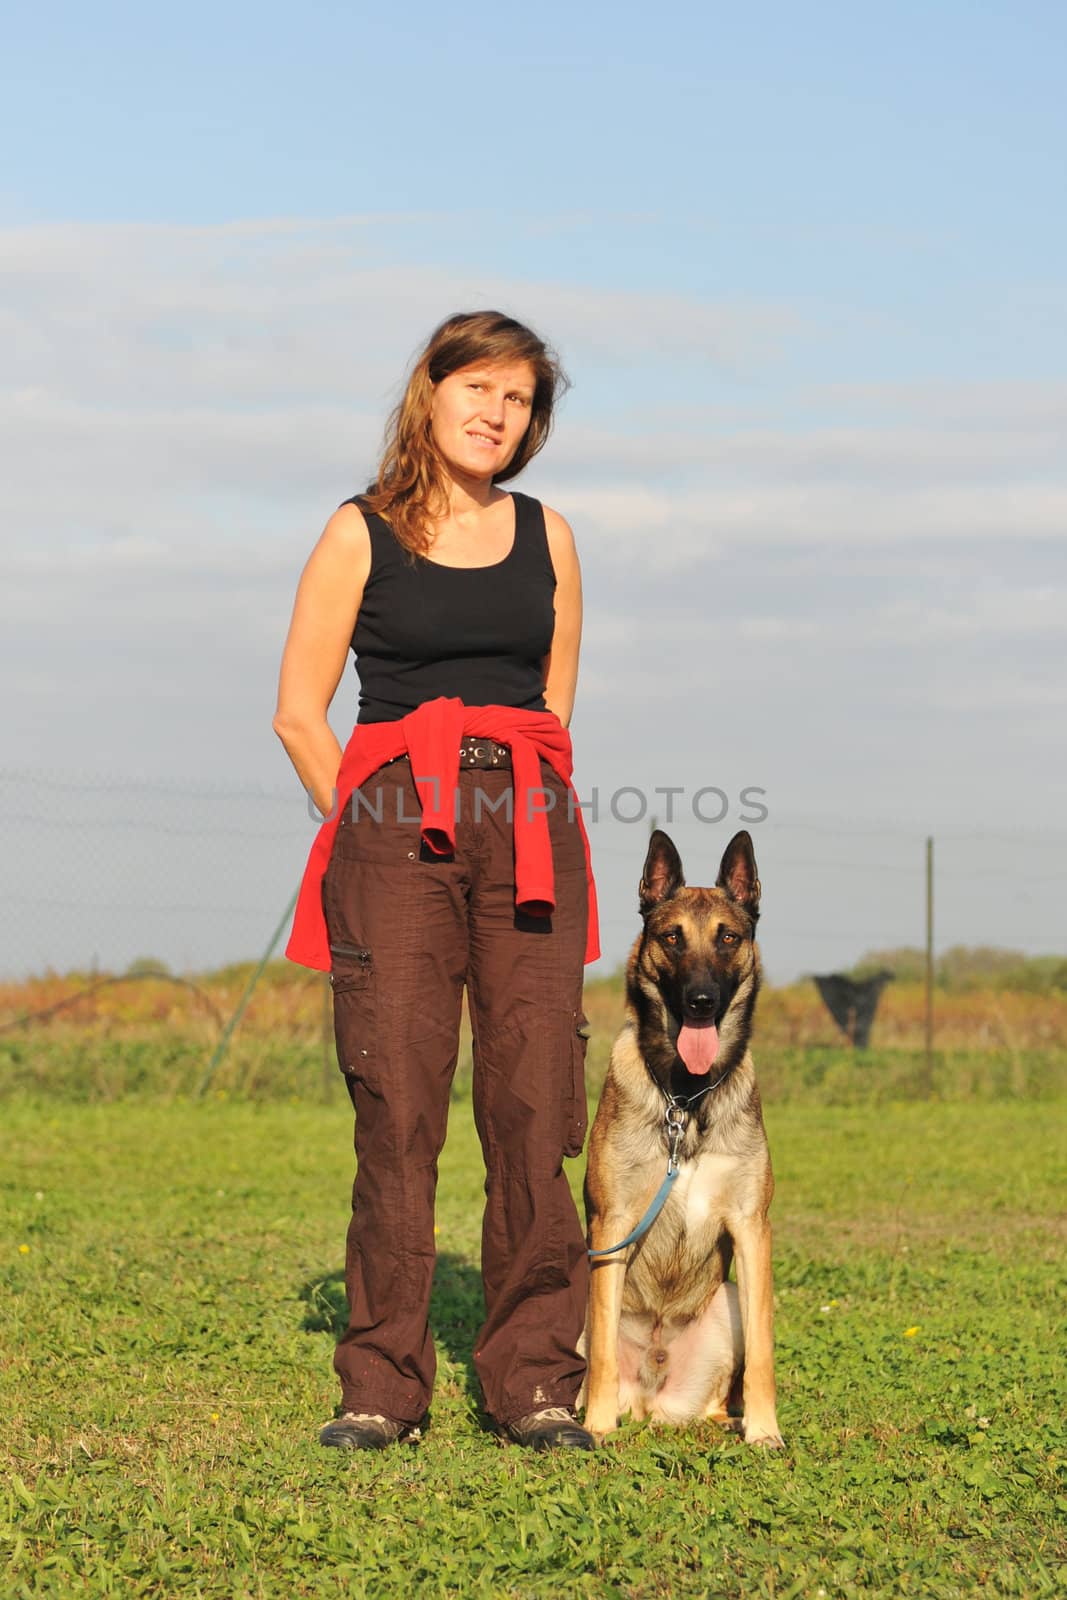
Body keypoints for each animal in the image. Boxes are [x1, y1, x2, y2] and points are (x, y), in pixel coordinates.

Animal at [585, 825, 783, 1452]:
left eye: (728, 938)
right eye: (672, 938)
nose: (701, 1001)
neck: (686, 1100)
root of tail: (651, 1401)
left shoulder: (751, 1228)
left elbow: (764, 1354)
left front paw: (766, 1431)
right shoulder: (612, 1225)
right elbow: (603, 1352)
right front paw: (593, 1427)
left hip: (729, 1301)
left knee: (716, 1401)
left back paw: (734, 1422)